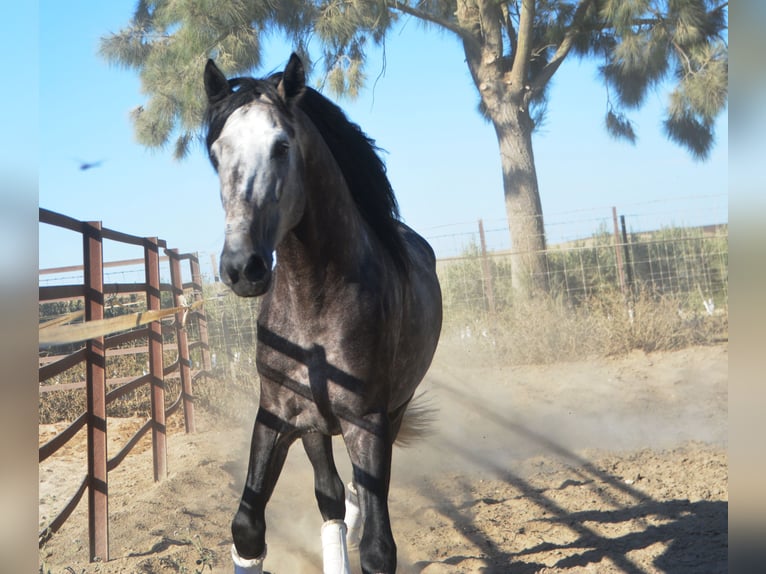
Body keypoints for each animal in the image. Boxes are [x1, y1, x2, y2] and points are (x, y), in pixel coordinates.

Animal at [204, 55, 444, 574]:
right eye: (216, 151)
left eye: (281, 146)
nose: (242, 267)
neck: (313, 303)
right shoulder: (277, 414)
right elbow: (248, 527)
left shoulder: (367, 420)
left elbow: (377, 548)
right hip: (314, 425)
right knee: (330, 494)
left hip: (392, 412)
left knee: (350, 494)